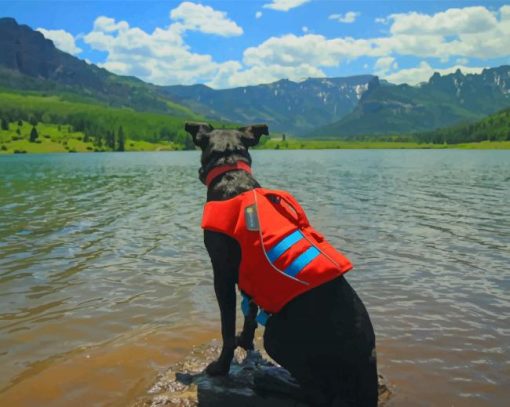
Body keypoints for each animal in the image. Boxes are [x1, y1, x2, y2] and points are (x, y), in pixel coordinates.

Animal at [185, 122, 376, 406]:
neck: (231, 171)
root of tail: (369, 363)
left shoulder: (222, 274)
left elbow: (227, 329)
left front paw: (220, 367)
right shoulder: (249, 277)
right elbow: (249, 316)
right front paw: (245, 341)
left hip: (275, 335)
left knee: (319, 394)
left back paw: (271, 379)